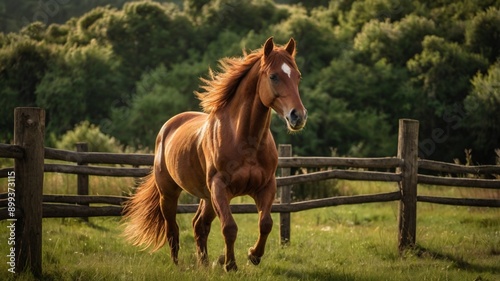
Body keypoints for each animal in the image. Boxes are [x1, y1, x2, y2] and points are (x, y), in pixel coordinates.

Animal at [123, 36, 306, 270]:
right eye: (273, 76)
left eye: (297, 76)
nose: (298, 116)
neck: (244, 140)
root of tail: (167, 127)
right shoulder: (220, 187)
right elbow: (229, 227)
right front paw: (230, 265)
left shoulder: (266, 186)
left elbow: (265, 223)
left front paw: (253, 255)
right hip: (170, 193)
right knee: (172, 229)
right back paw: (177, 264)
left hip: (207, 197)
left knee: (199, 225)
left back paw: (203, 263)